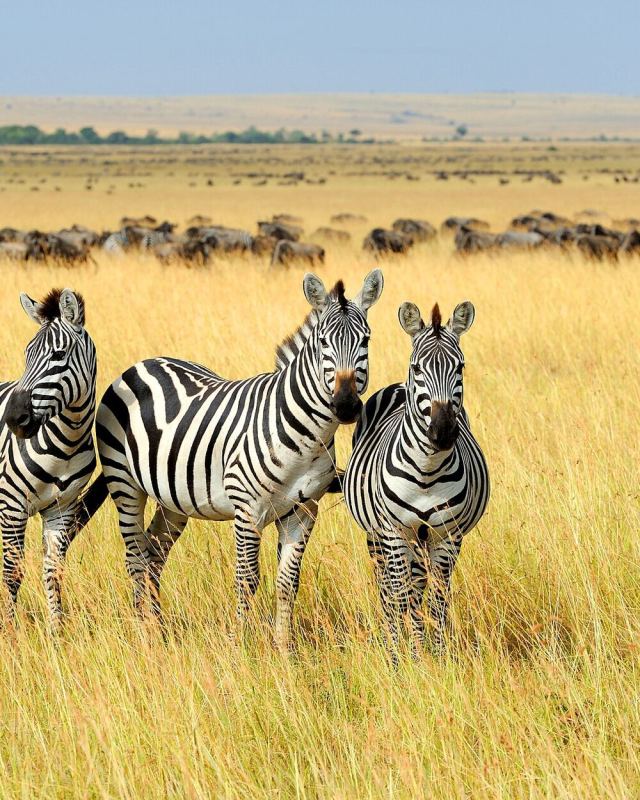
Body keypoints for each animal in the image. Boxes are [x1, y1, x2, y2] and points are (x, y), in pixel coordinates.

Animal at [0, 289, 107, 630]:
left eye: (59, 356)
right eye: (26, 354)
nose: (13, 419)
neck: (66, 443)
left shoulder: (62, 510)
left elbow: (53, 571)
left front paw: (56, 632)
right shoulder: (12, 506)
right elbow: (12, 573)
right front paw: (11, 633)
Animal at [95, 270, 384, 647]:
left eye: (366, 341)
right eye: (322, 342)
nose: (347, 405)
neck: (306, 437)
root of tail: (143, 363)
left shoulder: (304, 512)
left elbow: (288, 582)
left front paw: (283, 650)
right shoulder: (247, 510)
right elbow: (247, 580)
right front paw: (242, 648)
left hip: (173, 499)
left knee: (154, 554)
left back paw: (157, 629)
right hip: (125, 484)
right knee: (135, 558)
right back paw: (145, 636)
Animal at [343, 299, 490, 656]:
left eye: (460, 367)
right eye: (418, 369)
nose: (443, 432)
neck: (427, 469)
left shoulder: (447, 536)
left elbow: (436, 600)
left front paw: (434, 655)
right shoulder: (394, 532)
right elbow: (399, 596)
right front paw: (400, 656)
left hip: (423, 540)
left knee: (420, 587)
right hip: (378, 536)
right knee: (388, 587)